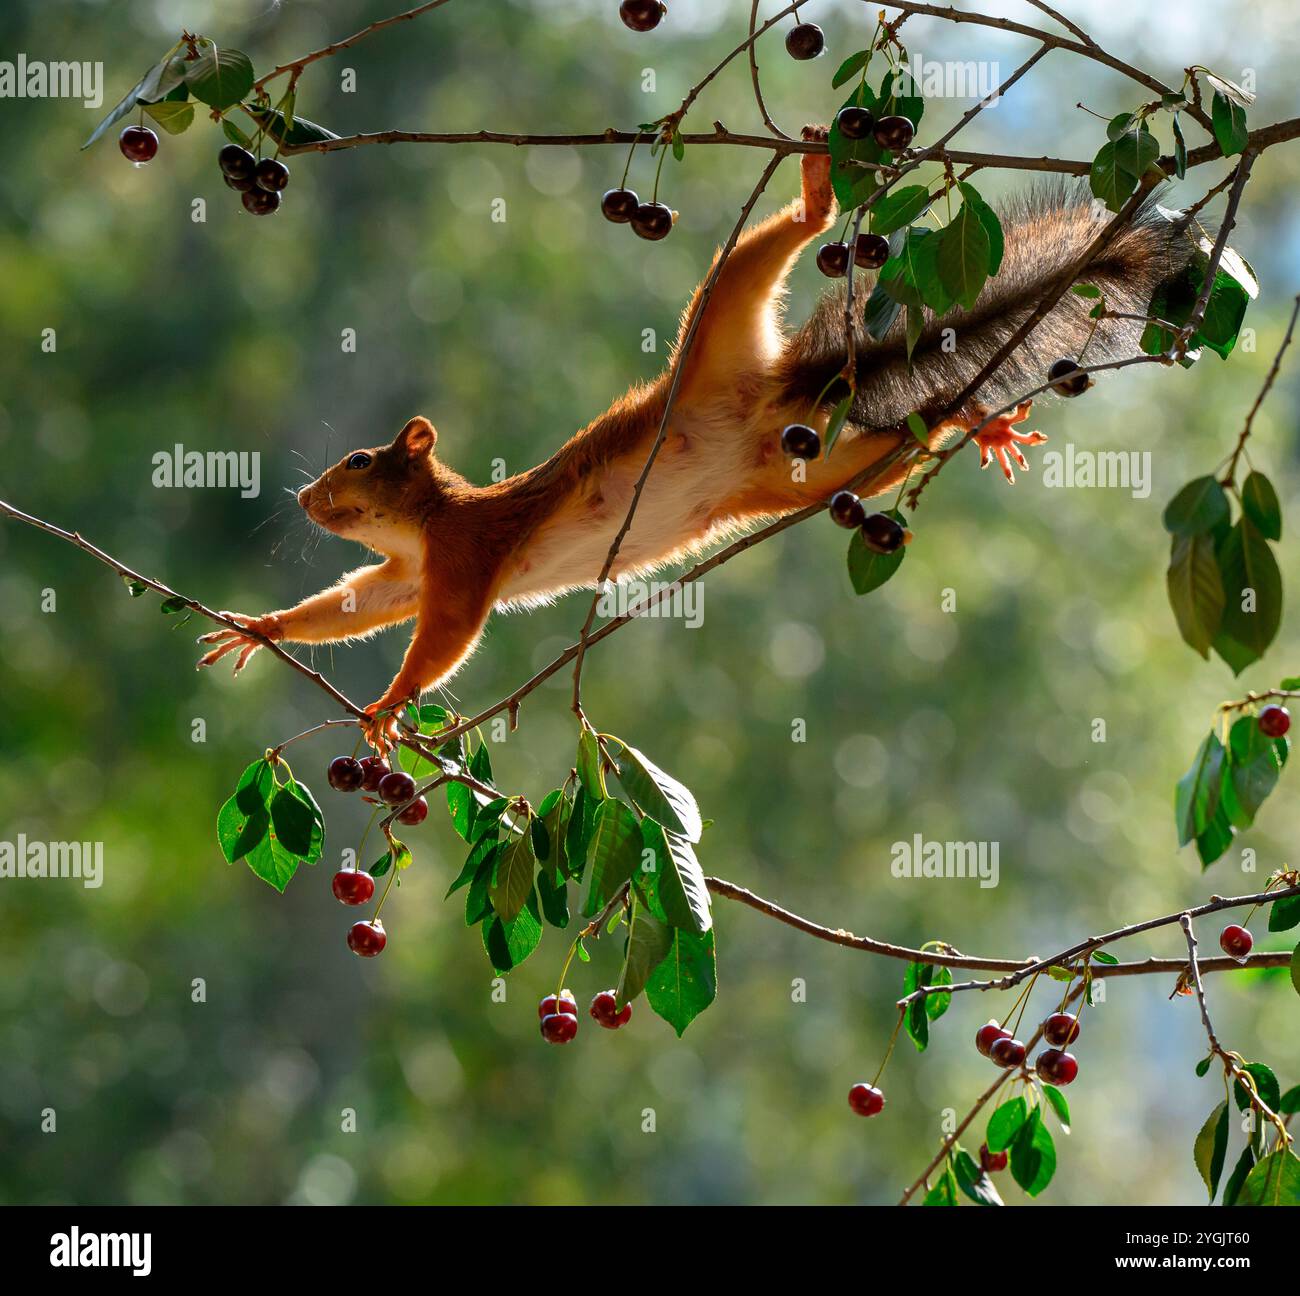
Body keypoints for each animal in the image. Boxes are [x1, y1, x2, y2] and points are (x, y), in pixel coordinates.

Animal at [197, 128, 1185, 748]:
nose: (304, 498)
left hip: (718, 326)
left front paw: (392, 700)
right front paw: (261, 626)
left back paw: (821, 193)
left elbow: (443, 637)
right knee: (896, 441)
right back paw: (969, 419)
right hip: (796, 475)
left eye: (361, 461)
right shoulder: (404, 573)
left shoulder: (466, 554)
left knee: (775, 248)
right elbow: (356, 604)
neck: (423, 525)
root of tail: (781, 392)